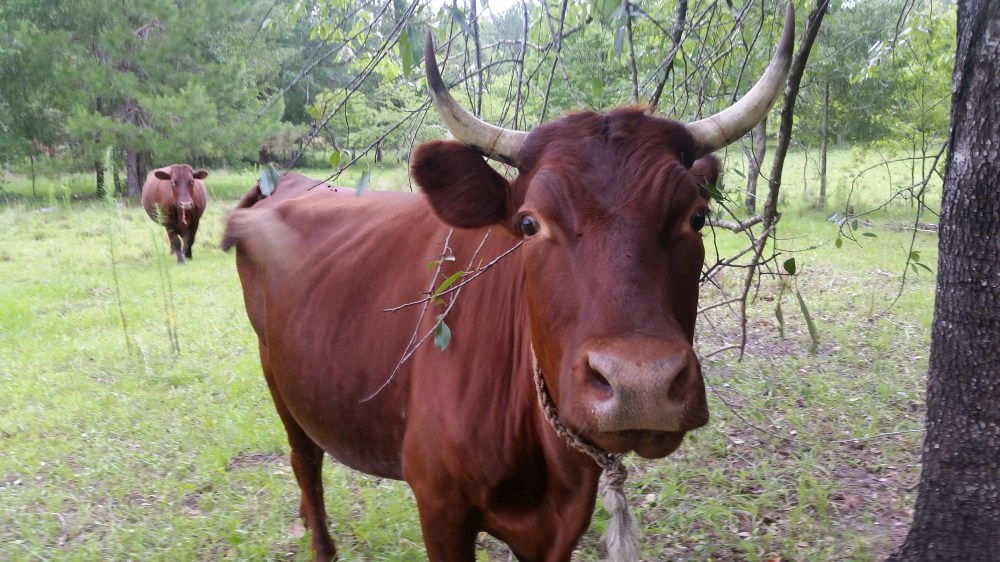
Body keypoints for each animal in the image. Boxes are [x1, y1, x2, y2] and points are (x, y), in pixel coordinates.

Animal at [222, 7, 793, 561]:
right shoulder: (440, 508)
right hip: (278, 375)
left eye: (696, 217)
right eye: (528, 223)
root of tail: (281, 183)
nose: (640, 385)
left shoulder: (562, 524)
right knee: (306, 461)